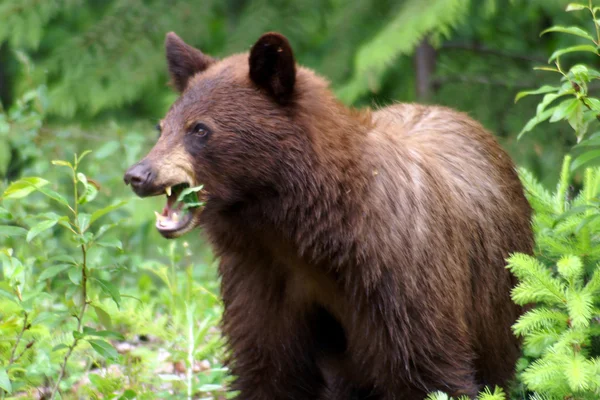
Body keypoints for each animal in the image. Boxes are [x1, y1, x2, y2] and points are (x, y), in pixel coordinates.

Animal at [123, 29, 536, 398]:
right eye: (163, 127)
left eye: (200, 129)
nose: (138, 175)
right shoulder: (260, 278)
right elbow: (270, 368)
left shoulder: (402, 277)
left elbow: (427, 369)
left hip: (497, 294)